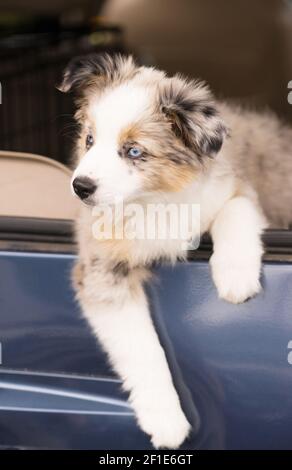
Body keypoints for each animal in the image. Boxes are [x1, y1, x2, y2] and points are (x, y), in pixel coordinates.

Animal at [59, 53, 292, 450]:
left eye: (134, 151)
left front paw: (235, 278)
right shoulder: (101, 271)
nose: (80, 187)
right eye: (89, 139)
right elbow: (142, 346)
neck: (154, 200)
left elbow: (235, 213)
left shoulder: (234, 189)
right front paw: (166, 420)